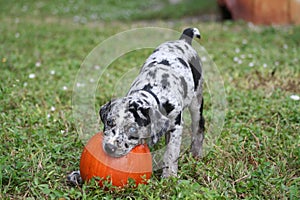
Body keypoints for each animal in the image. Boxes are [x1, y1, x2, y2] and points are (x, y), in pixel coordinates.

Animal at [67, 27, 204, 184]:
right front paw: (78, 174)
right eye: (109, 122)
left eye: (132, 129)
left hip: (197, 101)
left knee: (199, 126)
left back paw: (196, 153)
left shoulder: (175, 126)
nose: (109, 147)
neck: (154, 89)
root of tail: (183, 40)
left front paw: (169, 177)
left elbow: (171, 153)